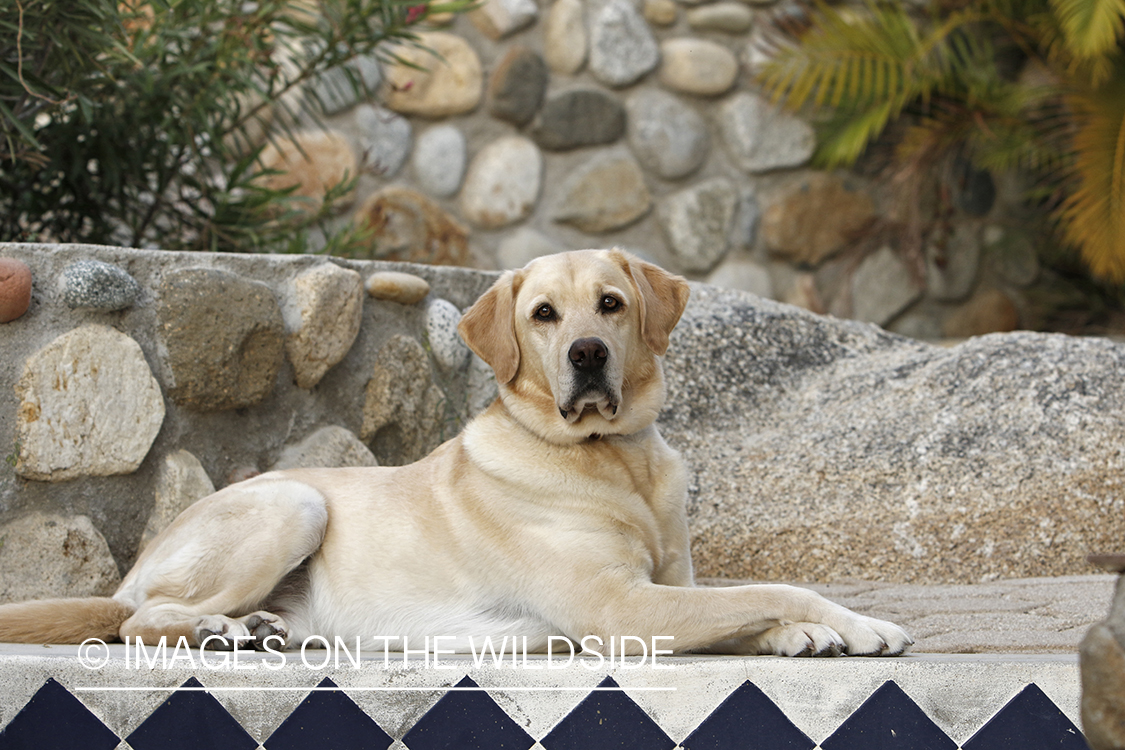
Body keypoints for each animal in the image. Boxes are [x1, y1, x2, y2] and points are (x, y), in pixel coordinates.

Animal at [0, 250, 913, 656]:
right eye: (543, 314)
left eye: (610, 304)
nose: (587, 354)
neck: (612, 461)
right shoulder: (621, 608)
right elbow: (773, 587)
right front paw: (855, 623)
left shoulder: (673, 590)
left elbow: (746, 604)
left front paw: (799, 637)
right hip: (294, 501)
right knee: (141, 621)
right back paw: (223, 630)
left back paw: (263, 629)